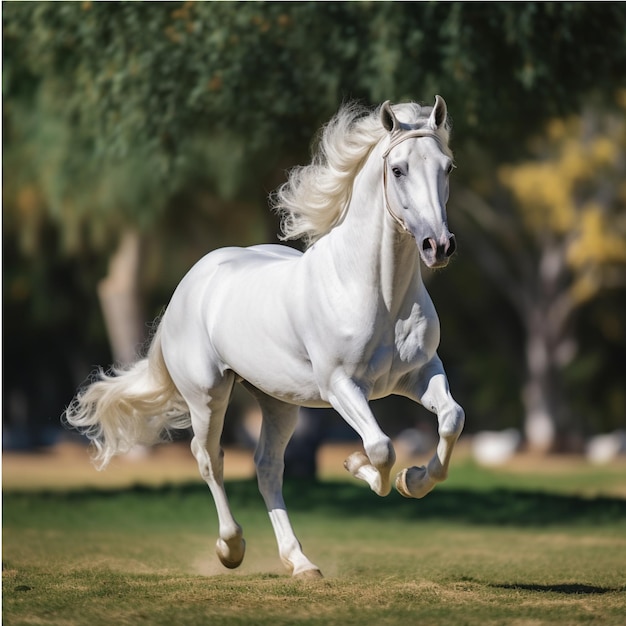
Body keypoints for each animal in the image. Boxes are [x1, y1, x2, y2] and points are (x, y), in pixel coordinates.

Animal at [64, 95, 464, 576]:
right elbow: (381, 447)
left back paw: (301, 563)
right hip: (209, 396)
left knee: (267, 467)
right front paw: (357, 464)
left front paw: (414, 479)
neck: (376, 293)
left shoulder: (419, 374)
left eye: (447, 167)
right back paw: (231, 548)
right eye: (399, 169)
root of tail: (191, 283)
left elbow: (451, 419)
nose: (438, 246)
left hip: (278, 403)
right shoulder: (342, 386)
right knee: (209, 459)